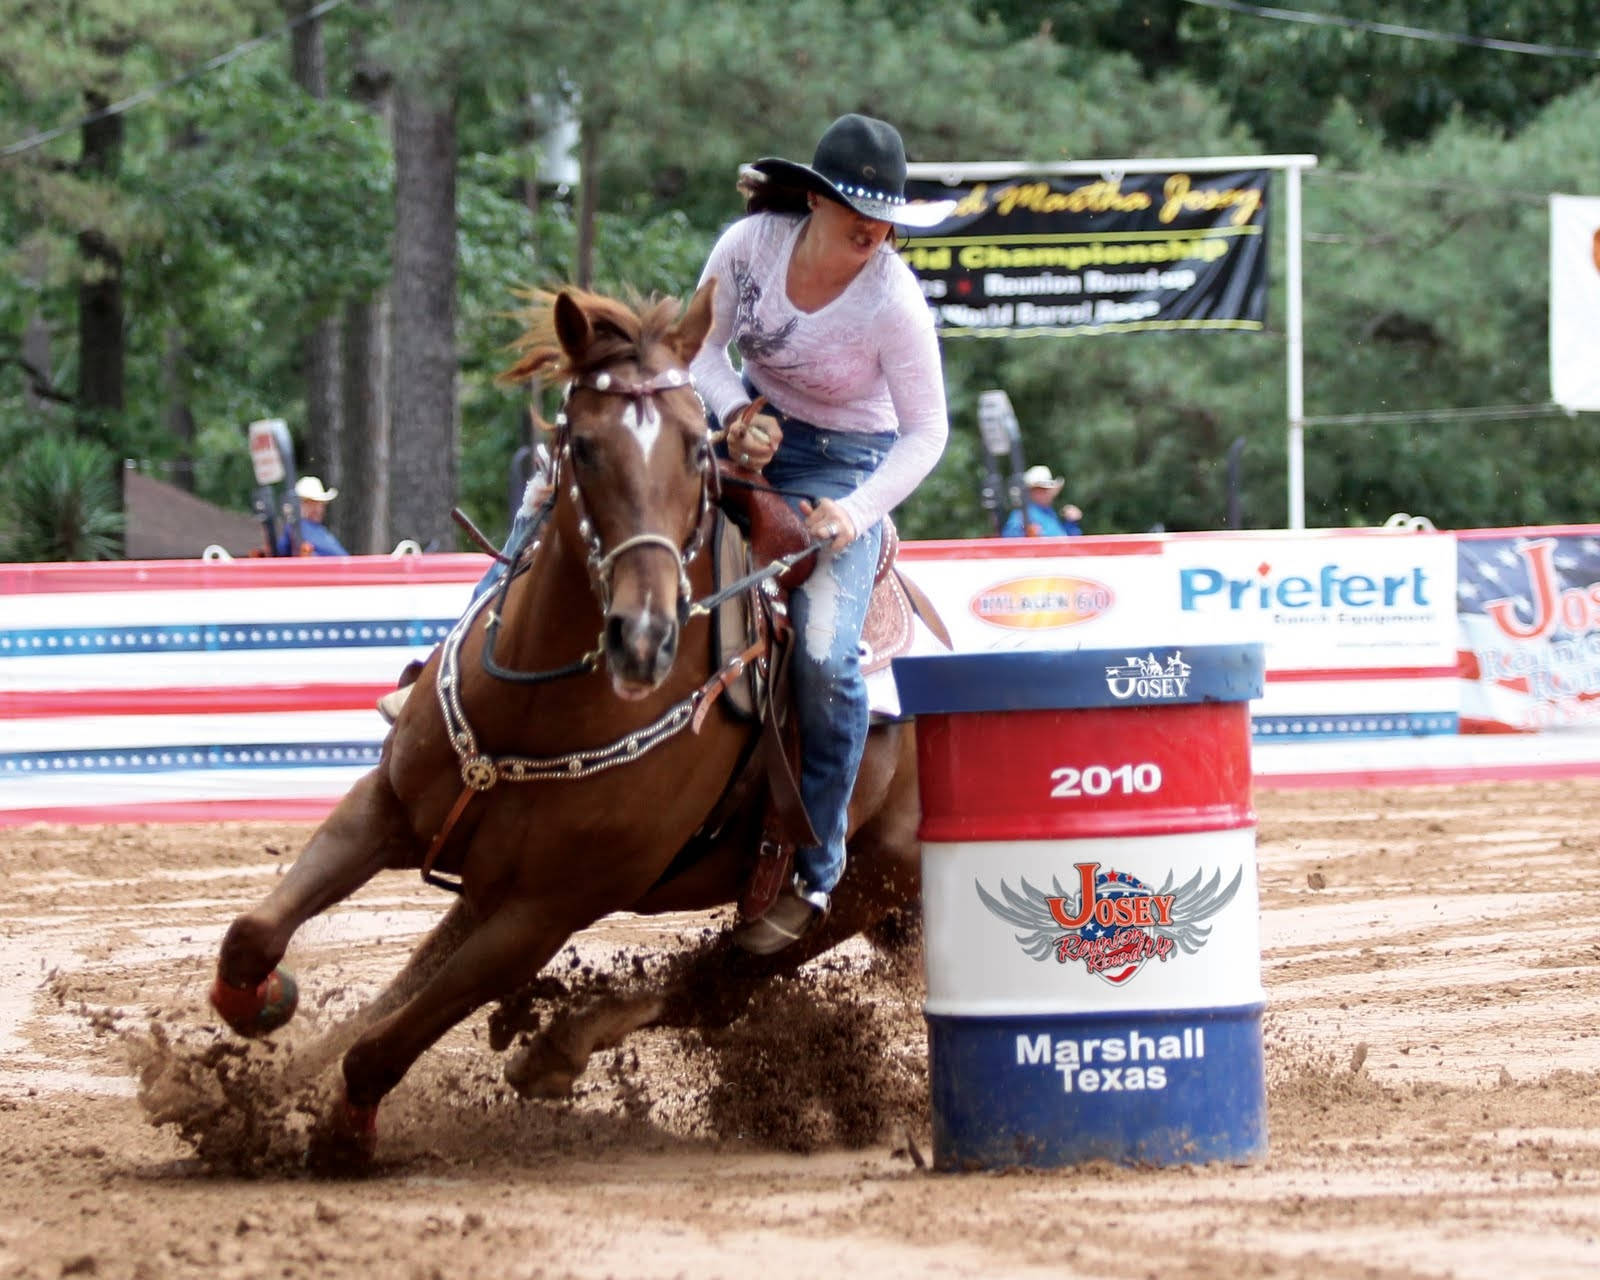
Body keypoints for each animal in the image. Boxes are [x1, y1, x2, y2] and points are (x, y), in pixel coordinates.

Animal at [206, 284, 921, 1164]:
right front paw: (256, 1012)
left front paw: (343, 1138)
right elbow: (255, 932)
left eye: (697, 451)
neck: (535, 704)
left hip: (850, 897)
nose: (643, 636)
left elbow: (387, 1047)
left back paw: (555, 1048)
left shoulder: (542, 914)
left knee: (709, 985)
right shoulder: (387, 807)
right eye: (581, 446)